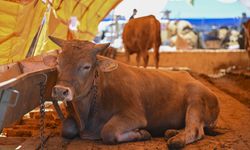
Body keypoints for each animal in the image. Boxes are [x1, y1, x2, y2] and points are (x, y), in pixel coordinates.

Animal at [44, 36, 220, 149]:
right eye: (58, 63)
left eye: (86, 66)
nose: (60, 91)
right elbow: (67, 129)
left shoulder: (134, 115)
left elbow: (108, 131)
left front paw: (142, 133)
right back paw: (171, 131)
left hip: (196, 101)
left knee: (195, 130)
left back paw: (176, 139)